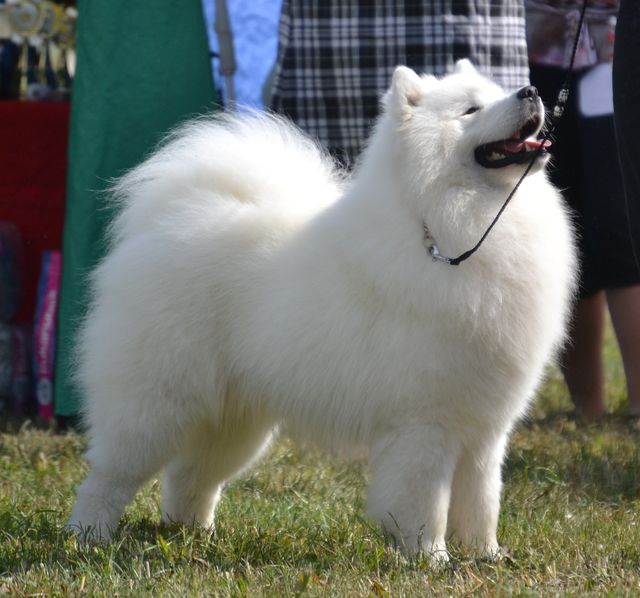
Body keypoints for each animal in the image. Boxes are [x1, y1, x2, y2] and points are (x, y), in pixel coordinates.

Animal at [67, 61, 576, 564]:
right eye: (471, 109)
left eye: (499, 90)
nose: (531, 92)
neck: (453, 224)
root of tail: (166, 222)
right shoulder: (423, 423)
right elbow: (425, 500)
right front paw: (429, 558)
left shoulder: (484, 427)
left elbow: (482, 498)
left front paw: (486, 555)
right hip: (155, 405)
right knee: (109, 475)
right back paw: (89, 536)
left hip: (234, 420)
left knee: (190, 477)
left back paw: (194, 535)